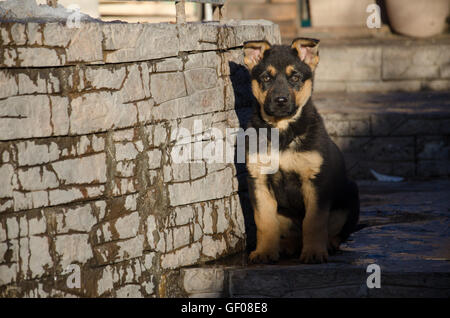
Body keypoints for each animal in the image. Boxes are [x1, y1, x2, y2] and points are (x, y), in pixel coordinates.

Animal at [243, 38, 358, 264]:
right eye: (266, 78)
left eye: (295, 77)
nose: (280, 101)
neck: (282, 131)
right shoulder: (258, 180)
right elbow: (264, 221)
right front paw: (264, 252)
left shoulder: (315, 180)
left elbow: (314, 222)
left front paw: (314, 253)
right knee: (292, 233)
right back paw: (287, 245)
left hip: (350, 194)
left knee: (336, 230)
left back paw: (329, 244)